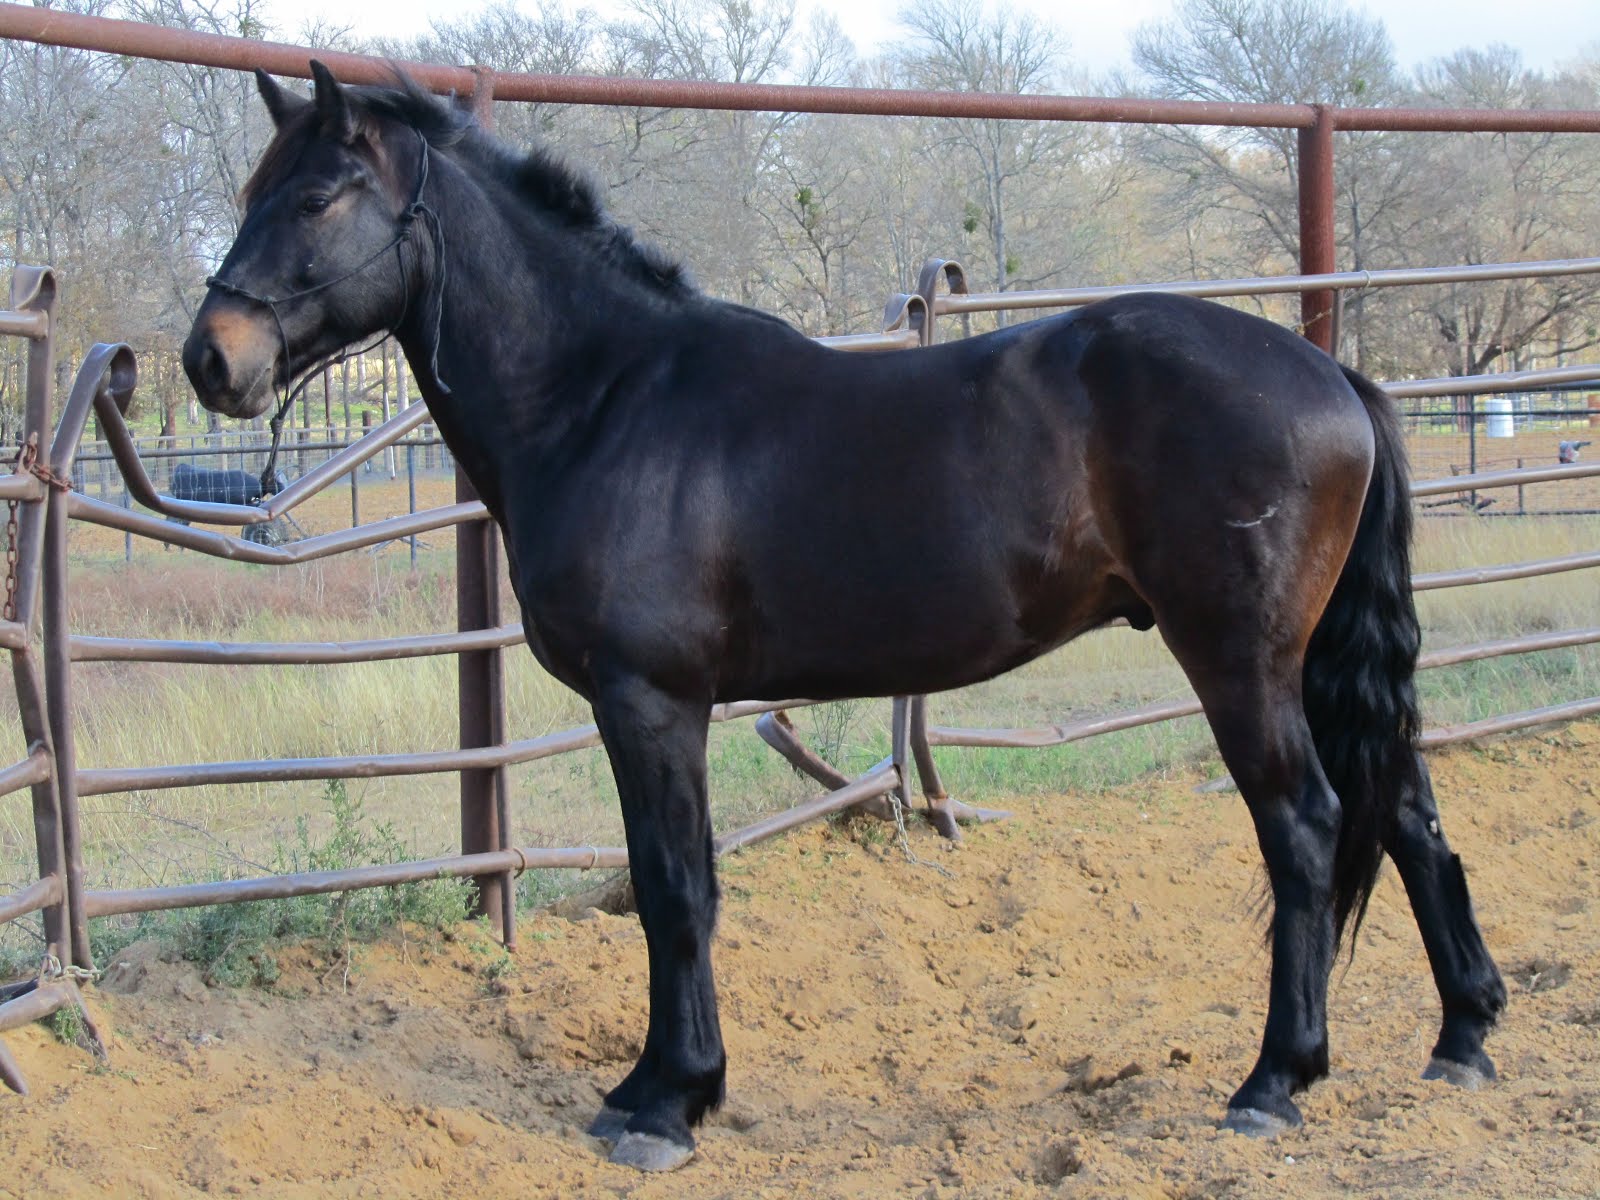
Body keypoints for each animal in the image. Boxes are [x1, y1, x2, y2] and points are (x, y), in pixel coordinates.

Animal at [181, 63, 1507, 1172]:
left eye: (318, 197)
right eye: (256, 191)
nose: (210, 359)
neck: (606, 399)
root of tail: (1330, 374)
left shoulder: (650, 702)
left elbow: (674, 888)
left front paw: (666, 1101)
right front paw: (663, 1087)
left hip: (1241, 661)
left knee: (1306, 827)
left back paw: (1274, 1081)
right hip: (1314, 661)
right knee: (1408, 810)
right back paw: (1461, 1037)